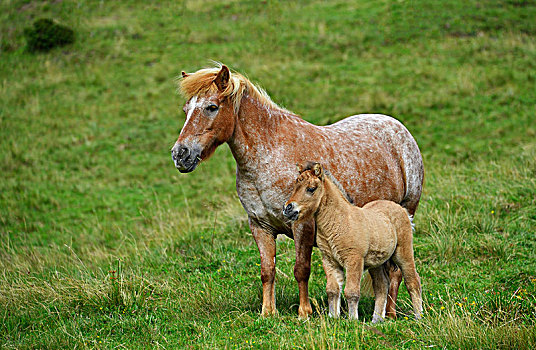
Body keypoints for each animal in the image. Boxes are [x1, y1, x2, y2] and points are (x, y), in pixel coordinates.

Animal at [282, 163, 426, 322]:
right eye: (295, 186)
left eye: (311, 189)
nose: (288, 208)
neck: (339, 221)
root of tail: (402, 209)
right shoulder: (329, 261)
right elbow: (332, 290)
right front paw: (333, 317)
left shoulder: (354, 259)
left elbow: (351, 291)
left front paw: (352, 320)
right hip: (376, 263)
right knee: (382, 286)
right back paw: (376, 320)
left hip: (403, 253)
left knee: (413, 280)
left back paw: (419, 317)